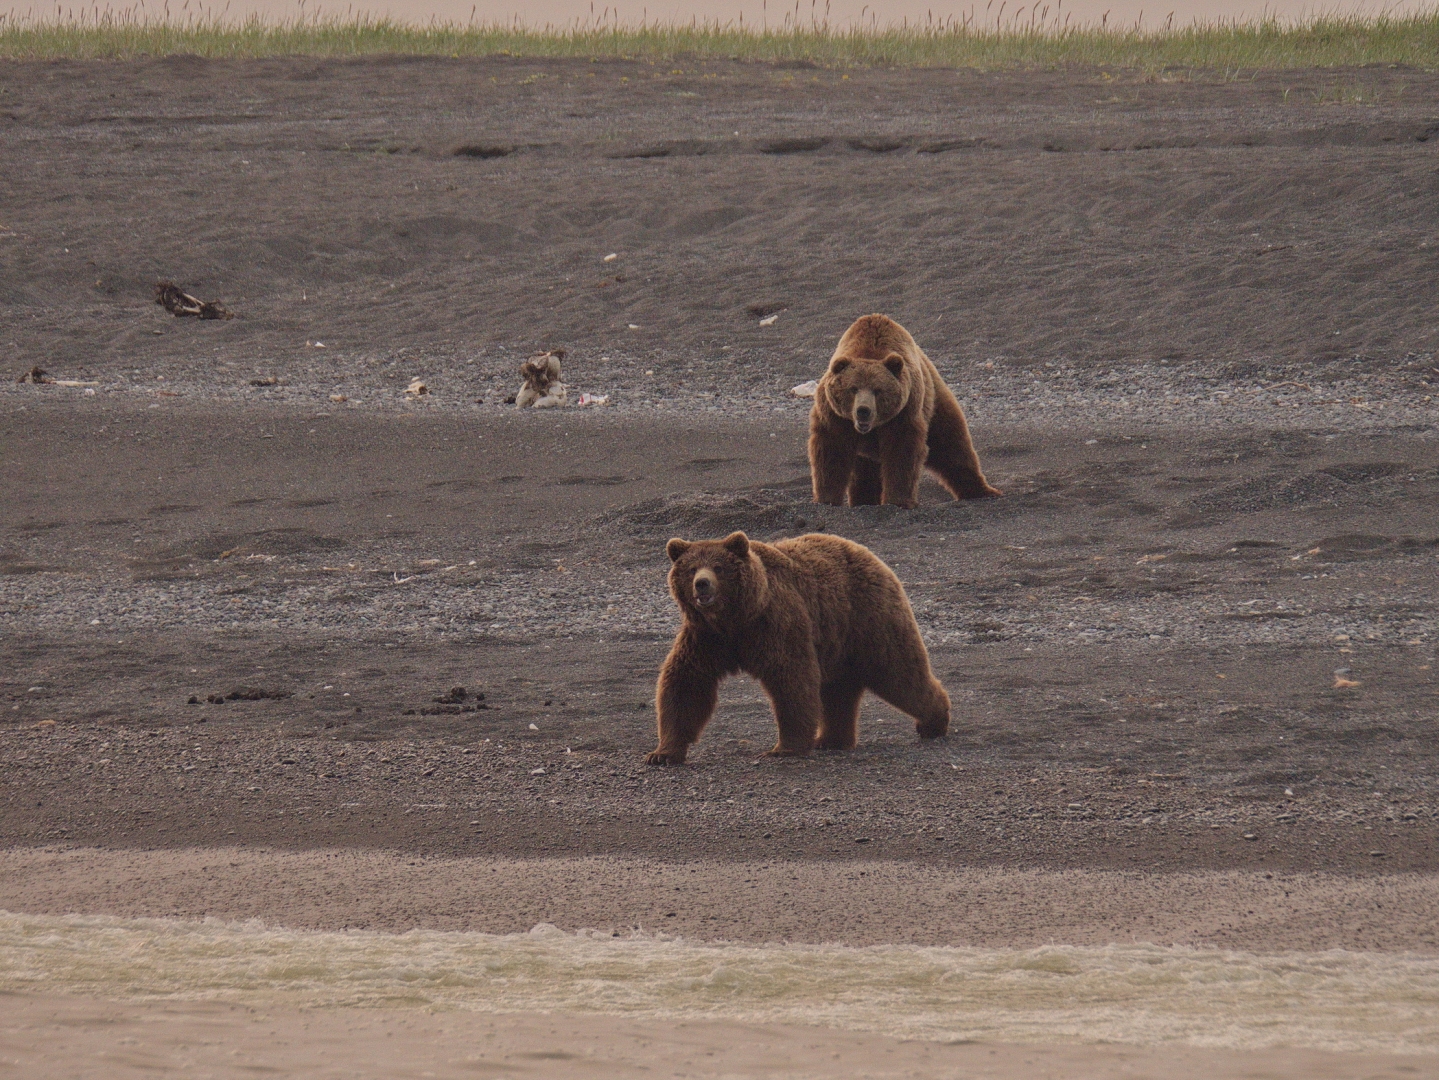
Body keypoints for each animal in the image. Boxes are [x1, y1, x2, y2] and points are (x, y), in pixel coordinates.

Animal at [647, 529, 949, 765]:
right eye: (690, 569)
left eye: (719, 567)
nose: (702, 584)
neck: (736, 619)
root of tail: (866, 552)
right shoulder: (707, 639)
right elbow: (686, 683)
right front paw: (662, 754)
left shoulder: (773, 624)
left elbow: (791, 677)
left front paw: (784, 748)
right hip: (836, 642)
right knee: (838, 690)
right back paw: (831, 739)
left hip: (869, 619)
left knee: (899, 672)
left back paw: (934, 722)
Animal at [811, 314, 1001, 509]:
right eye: (853, 388)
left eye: (877, 390)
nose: (863, 410)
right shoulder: (834, 415)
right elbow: (832, 451)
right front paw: (826, 499)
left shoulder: (904, 411)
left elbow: (902, 451)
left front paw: (898, 501)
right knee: (864, 472)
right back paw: (863, 501)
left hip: (934, 404)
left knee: (952, 445)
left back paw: (981, 491)